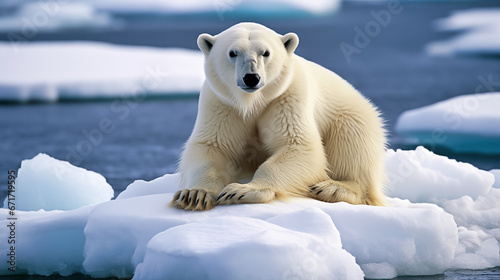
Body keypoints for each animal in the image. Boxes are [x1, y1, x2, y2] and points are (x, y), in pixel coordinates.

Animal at [170, 22, 384, 210]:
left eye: (265, 52)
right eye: (232, 53)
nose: (251, 77)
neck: (252, 102)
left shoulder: (286, 97)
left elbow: (298, 145)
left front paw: (241, 190)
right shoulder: (221, 103)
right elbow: (211, 147)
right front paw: (194, 195)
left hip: (351, 116)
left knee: (352, 147)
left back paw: (332, 188)